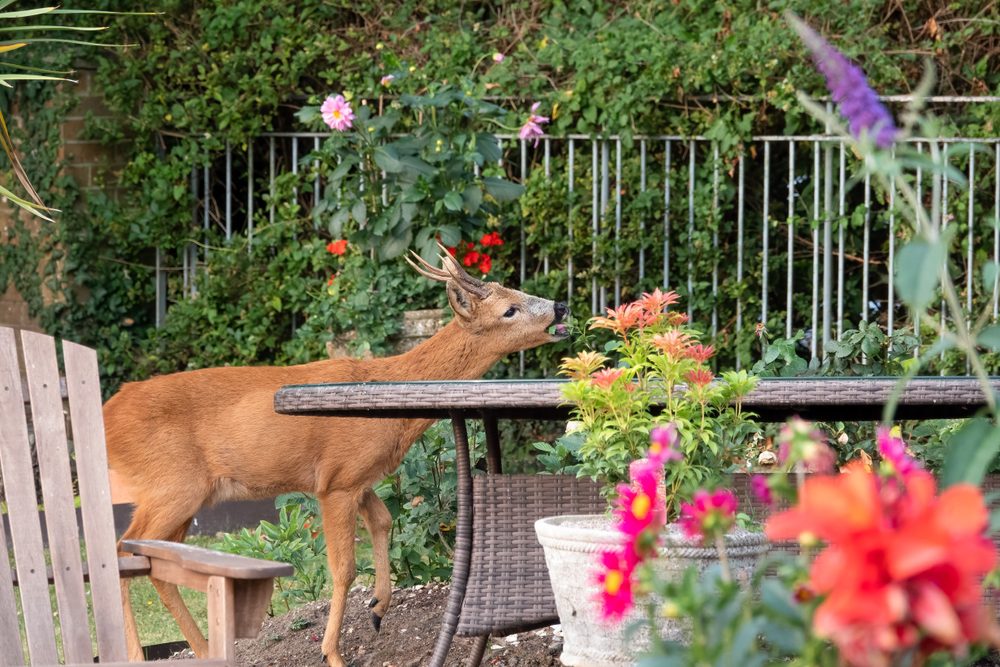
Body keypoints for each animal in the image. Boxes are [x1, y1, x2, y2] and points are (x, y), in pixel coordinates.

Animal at [103, 248, 572, 664]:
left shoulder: (359, 478)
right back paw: (137, 655)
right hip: (172, 485)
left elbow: (383, 522)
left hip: (187, 496)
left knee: (157, 560)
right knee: (124, 549)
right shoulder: (337, 481)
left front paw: (379, 608)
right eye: (510, 309)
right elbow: (344, 567)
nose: (561, 305)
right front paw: (333, 653)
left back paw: (202, 650)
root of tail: (107, 414)